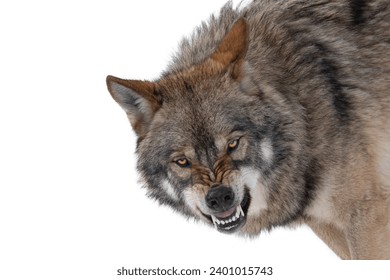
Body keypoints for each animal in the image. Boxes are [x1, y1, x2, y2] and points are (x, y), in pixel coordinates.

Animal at [105, 0, 388, 260]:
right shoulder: (326, 223)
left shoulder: (366, 215)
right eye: (182, 161)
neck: (304, 109)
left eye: (233, 144)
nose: (219, 197)